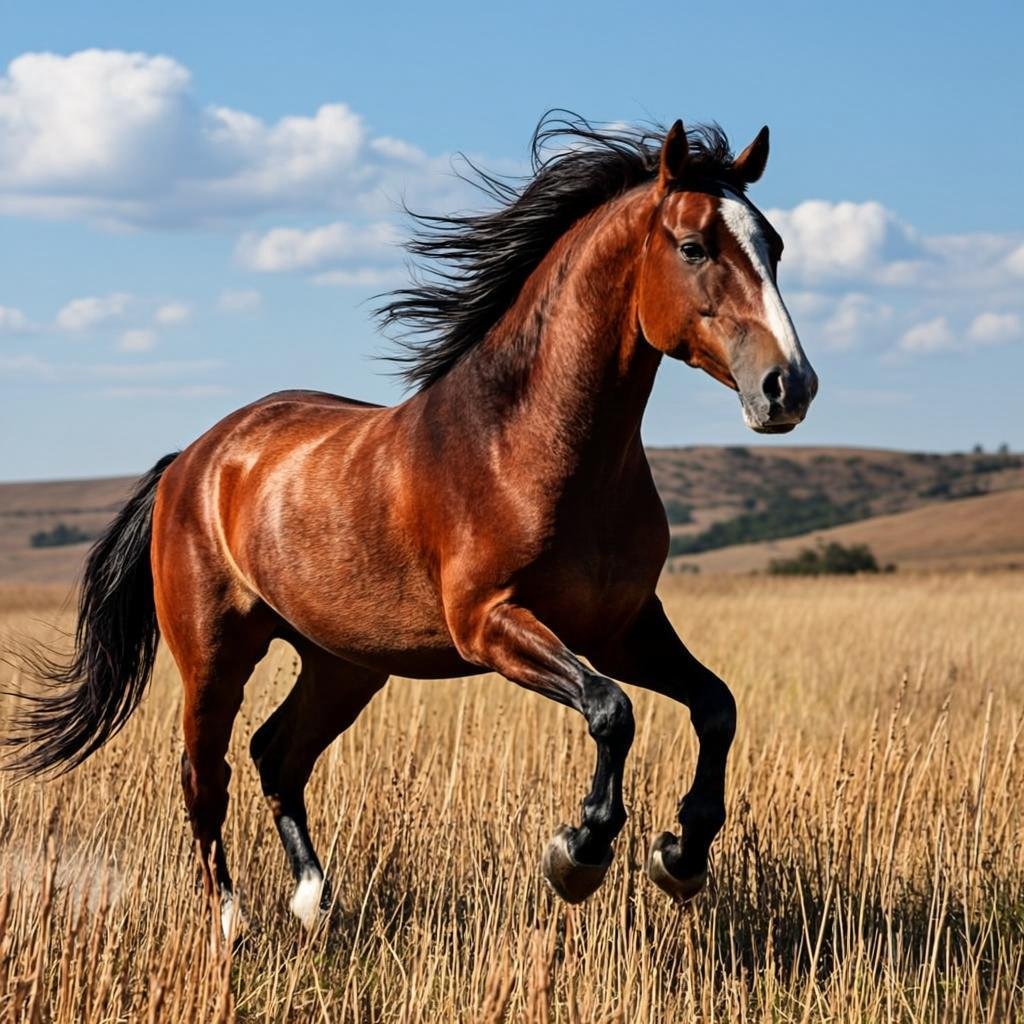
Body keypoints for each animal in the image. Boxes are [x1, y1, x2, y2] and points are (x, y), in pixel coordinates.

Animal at [6, 114, 817, 935]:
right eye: (693, 246)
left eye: (774, 246)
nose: (789, 386)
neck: (528, 445)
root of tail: (191, 461)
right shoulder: (491, 624)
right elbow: (612, 711)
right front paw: (580, 853)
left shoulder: (622, 628)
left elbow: (715, 707)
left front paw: (680, 856)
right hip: (214, 656)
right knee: (206, 775)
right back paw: (231, 925)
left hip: (344, 662)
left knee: (278, 754)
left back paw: (315, 901)